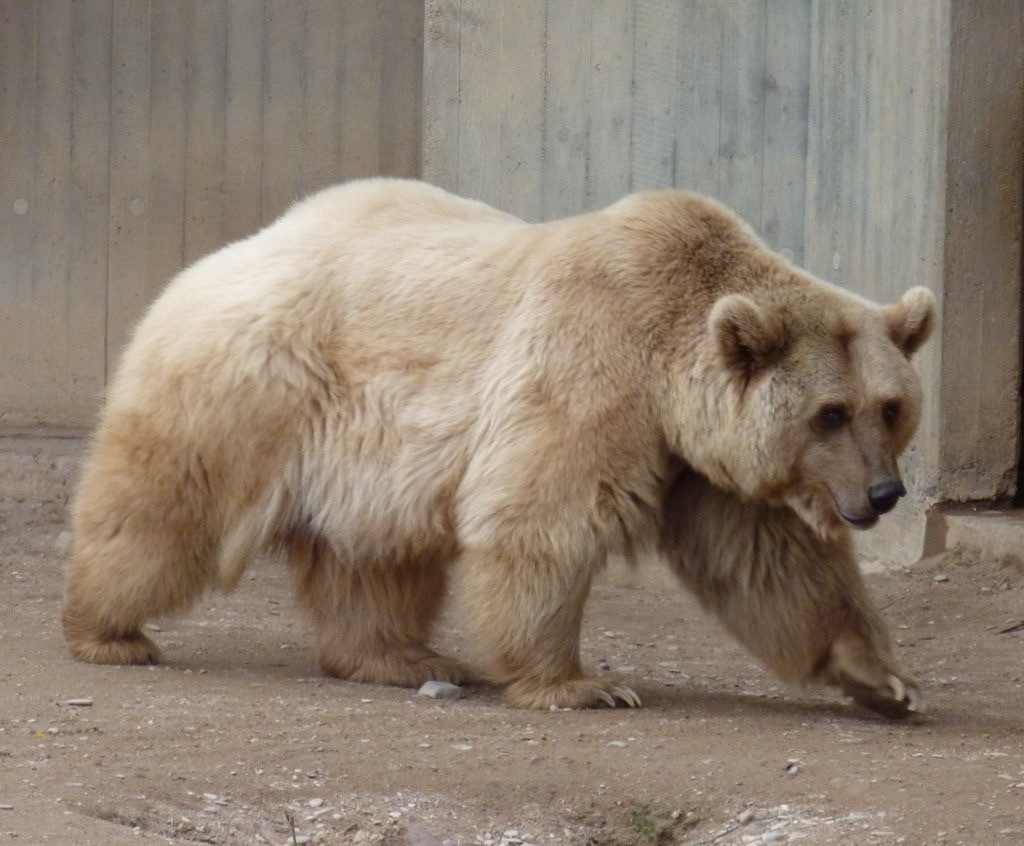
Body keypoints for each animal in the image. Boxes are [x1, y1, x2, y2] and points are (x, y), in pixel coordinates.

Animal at [59, 176, 933, 712]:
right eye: (830, 412)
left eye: (889, 408)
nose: (883, 494)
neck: (669, 363)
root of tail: (215, 257)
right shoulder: (592, 368)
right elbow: (544, 518)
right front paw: (584, 684)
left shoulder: (699, 460)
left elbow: (771, 562)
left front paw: (884, 679)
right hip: (252, 387)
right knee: (163, 509)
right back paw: (106, 630)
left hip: (369, 454)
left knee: (375, 558)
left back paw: (402, 656)